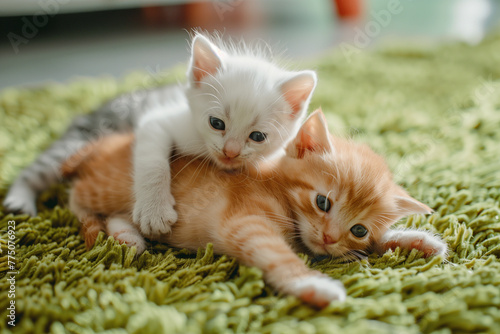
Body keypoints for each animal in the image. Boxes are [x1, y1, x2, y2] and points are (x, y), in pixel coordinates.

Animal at [61, 110, 446, 308]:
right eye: (322, 202)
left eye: (359, 229)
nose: (329, 237)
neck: (277, 187)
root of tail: (110, 142)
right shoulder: (245, 222)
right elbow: (276, 253)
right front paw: (312, 285)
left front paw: (417, 241)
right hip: (109, 187)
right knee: (76, 197)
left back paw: (127, 236)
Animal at [132, 34, 316, 237]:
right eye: (216, 123)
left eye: (258, 136)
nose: (231, 151)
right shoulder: (159, 122)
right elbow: (153, 163)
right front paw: (154, 211)